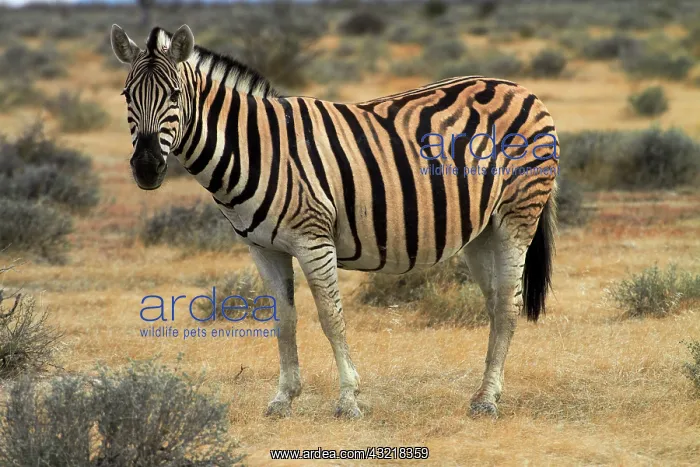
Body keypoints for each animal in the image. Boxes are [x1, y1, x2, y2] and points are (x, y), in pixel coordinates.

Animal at [111, 24, 559, 419]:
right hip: (482, 231)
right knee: (496, 303)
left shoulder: (313, 239)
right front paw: (284, 398)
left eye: (174, 95)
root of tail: (521, 88)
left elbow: (331, 318)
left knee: (508, 305)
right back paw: (488, 392)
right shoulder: (263, 248)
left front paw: (348, 401)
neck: (253, 147)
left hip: (517, 216)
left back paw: (486, 402)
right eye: (126, 96)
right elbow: (284, 320)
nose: (147, 168)